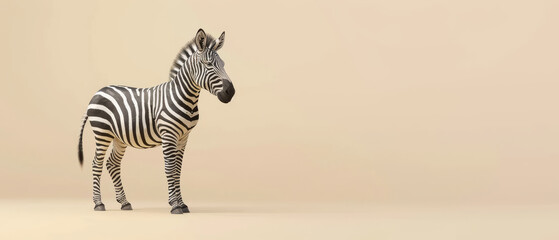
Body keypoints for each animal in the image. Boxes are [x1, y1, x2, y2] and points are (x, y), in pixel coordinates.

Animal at [76, 29, 234, 215]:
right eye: (208, 64)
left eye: (223, 64)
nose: (231, 92)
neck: (184, 97)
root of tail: (97, 92)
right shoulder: (169, 135)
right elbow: (169, 168)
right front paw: (175, 205)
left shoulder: (183, 137)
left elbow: (178, 169)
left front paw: (182, 204)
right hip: (102, 133)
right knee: (97, 163)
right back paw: (98, 203)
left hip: (119, 138)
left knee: (112, 164)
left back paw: (124, 202)